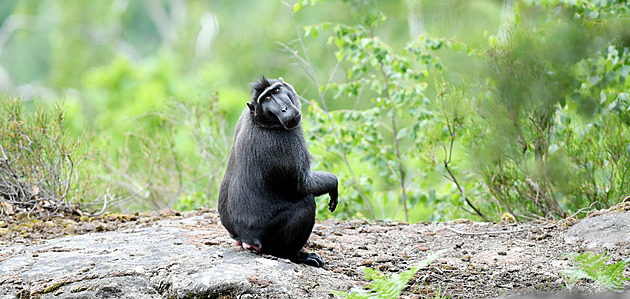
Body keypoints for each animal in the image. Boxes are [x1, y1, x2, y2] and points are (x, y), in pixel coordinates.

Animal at [218, 77, 338, 268]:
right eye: (266, 99)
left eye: (275, 91)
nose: (284, 109)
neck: (259, 119)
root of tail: (245, 238)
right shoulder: (285, 140)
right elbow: (302, 184)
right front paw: (333, 183)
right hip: (269, 237)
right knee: (306, 203)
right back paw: (295, 255)